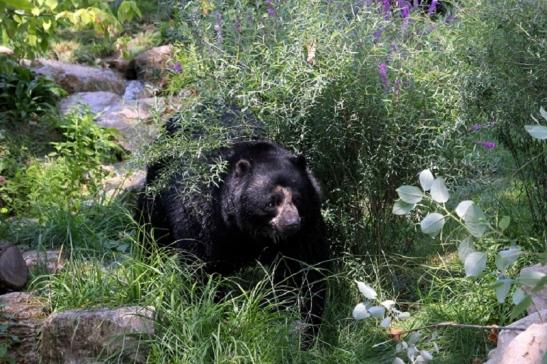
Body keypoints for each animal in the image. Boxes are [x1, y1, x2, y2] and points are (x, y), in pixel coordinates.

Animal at [139, 128, 332, 346]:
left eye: (298, 199)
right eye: (271, 202)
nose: (291, 224)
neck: (247, 230)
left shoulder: (307, 228)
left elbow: (307, 269)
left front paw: (307, 331)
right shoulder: (204, 219)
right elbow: (201, 269)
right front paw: (209, 317)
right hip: (157, 194)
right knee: (151, 231)